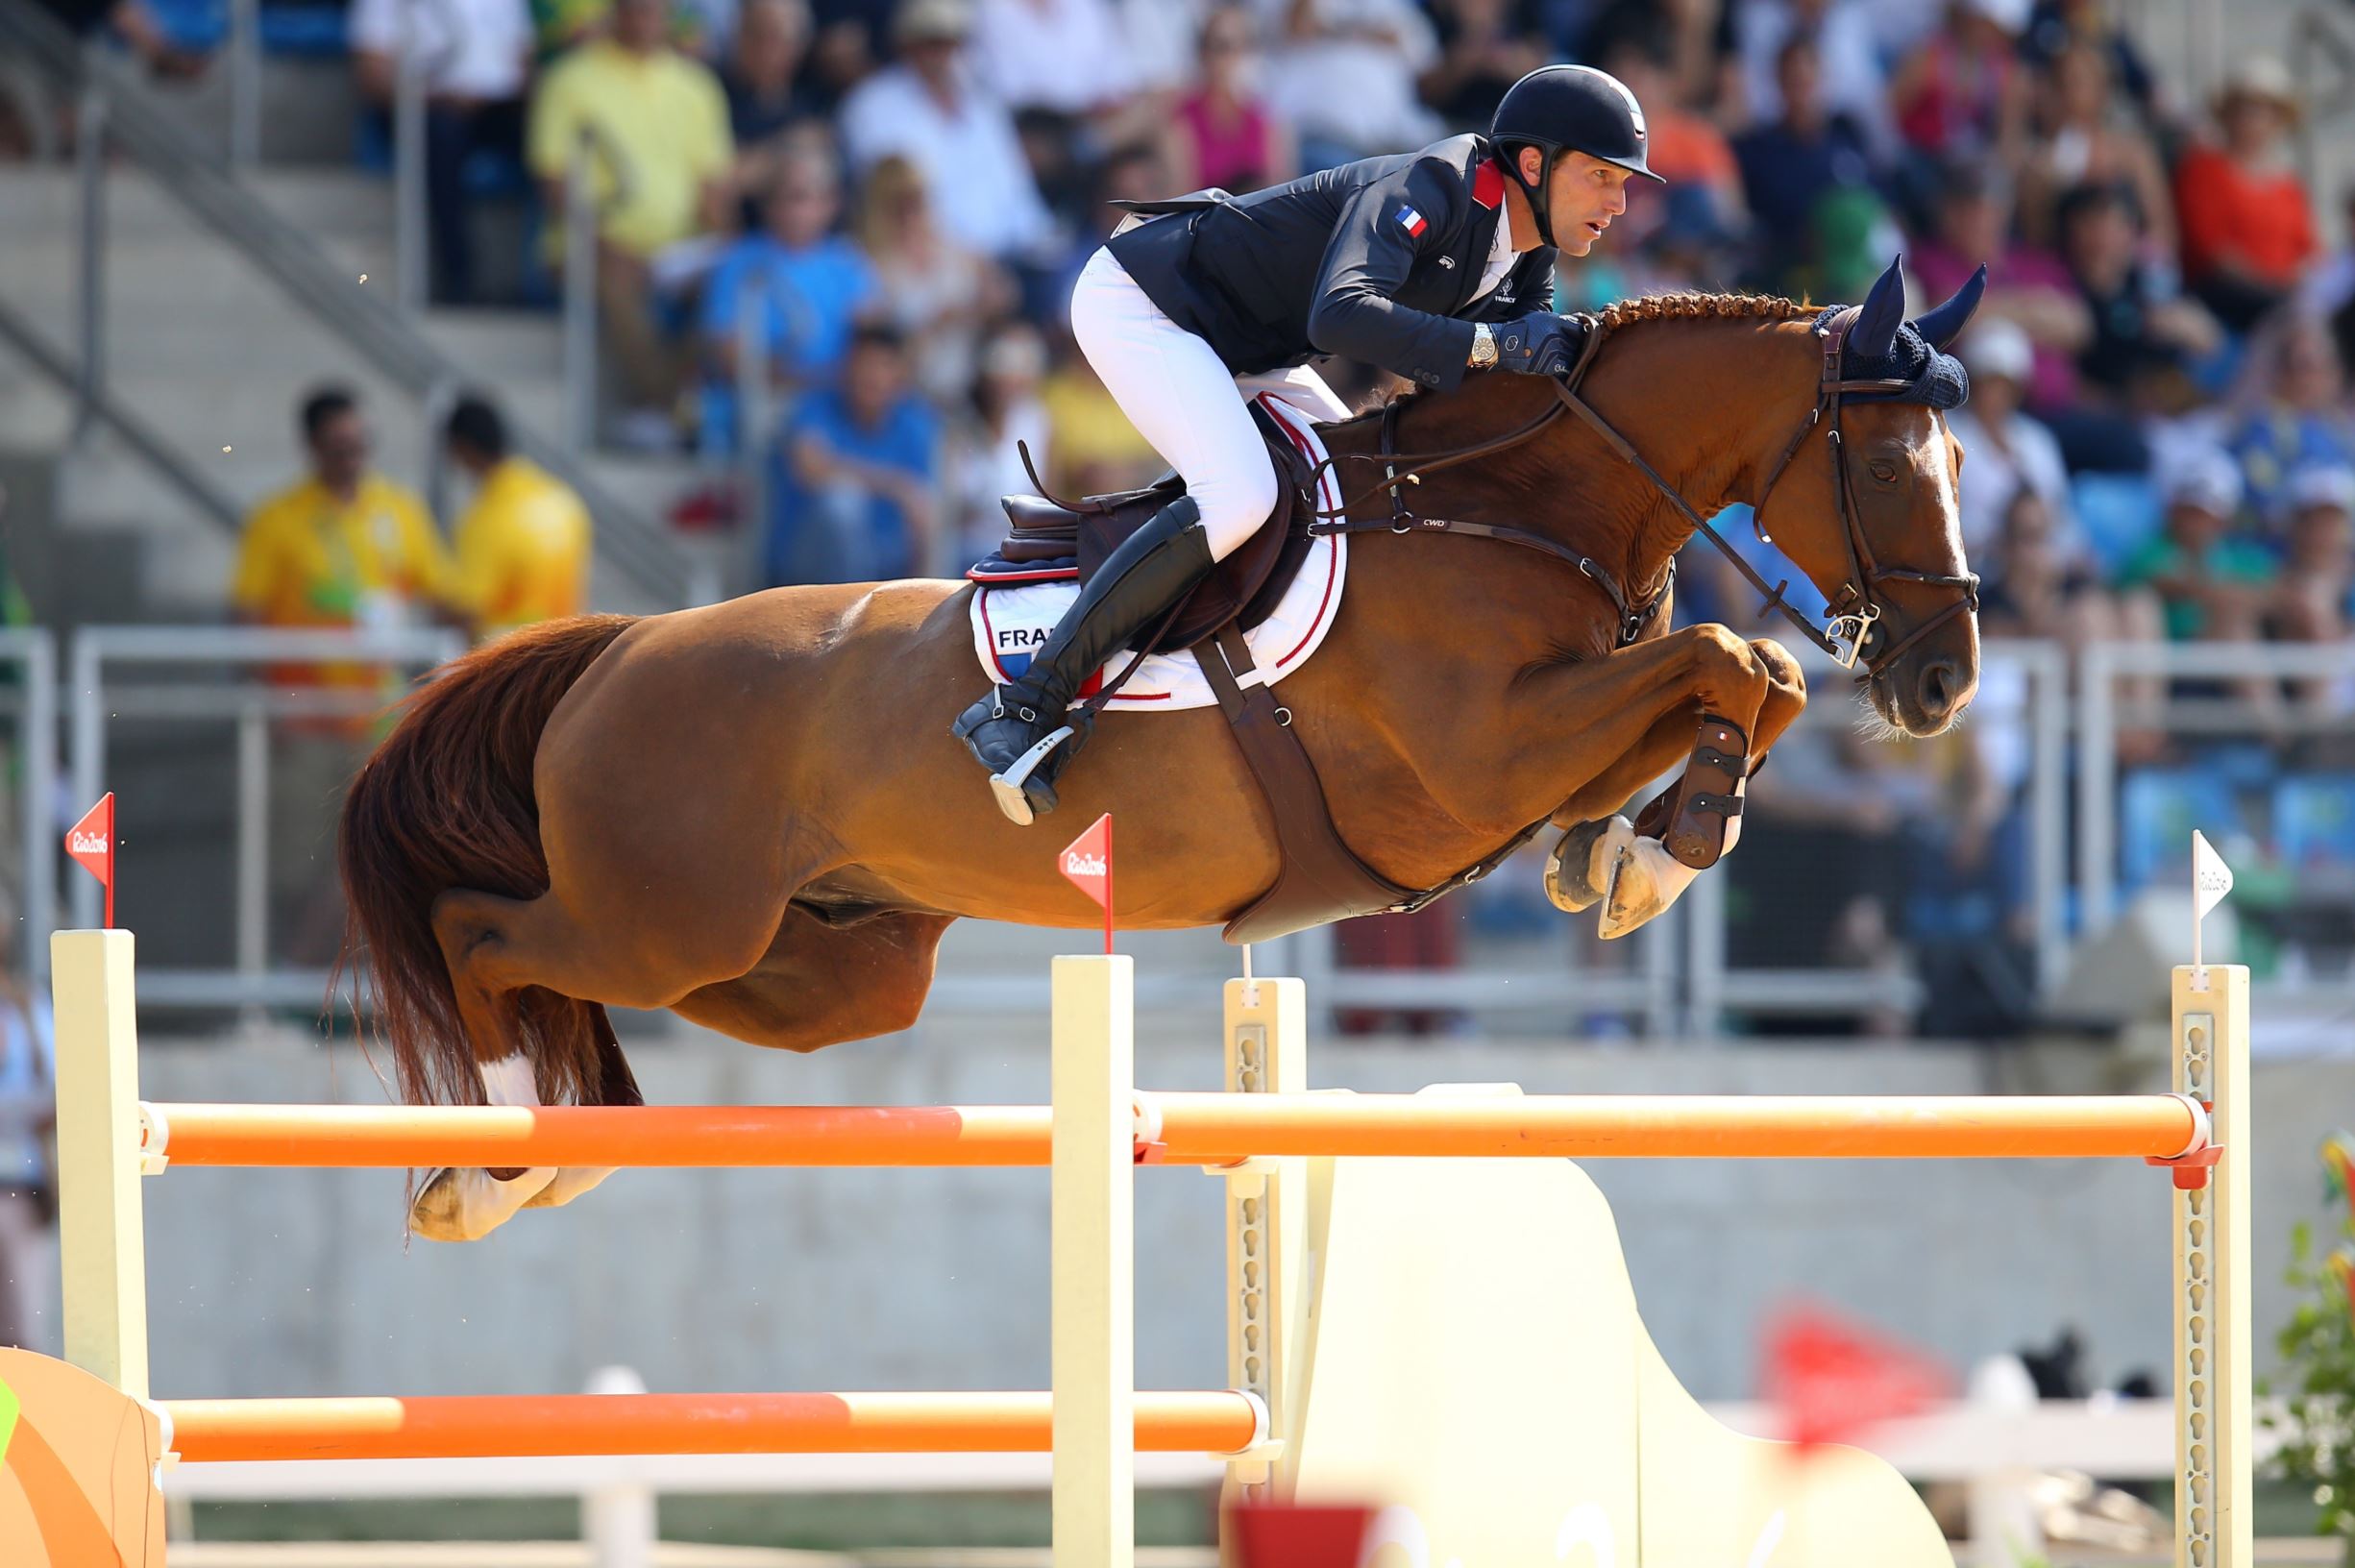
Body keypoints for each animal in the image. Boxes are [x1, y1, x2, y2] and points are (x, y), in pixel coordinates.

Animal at [341, 274, 1977, 1242]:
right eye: (1893, 463)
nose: (1941, 679)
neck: (1514, 502)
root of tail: (616, 649)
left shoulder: (1522, 763)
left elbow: (1739, 678)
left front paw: (1631, 855)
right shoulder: (1475, 757)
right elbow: (1735, 658)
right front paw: (1654, 853)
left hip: (821, 969)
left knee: (626, 992)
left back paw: (567, 1141)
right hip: (663, 913)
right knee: (482, 935)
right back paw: (489, 1154)